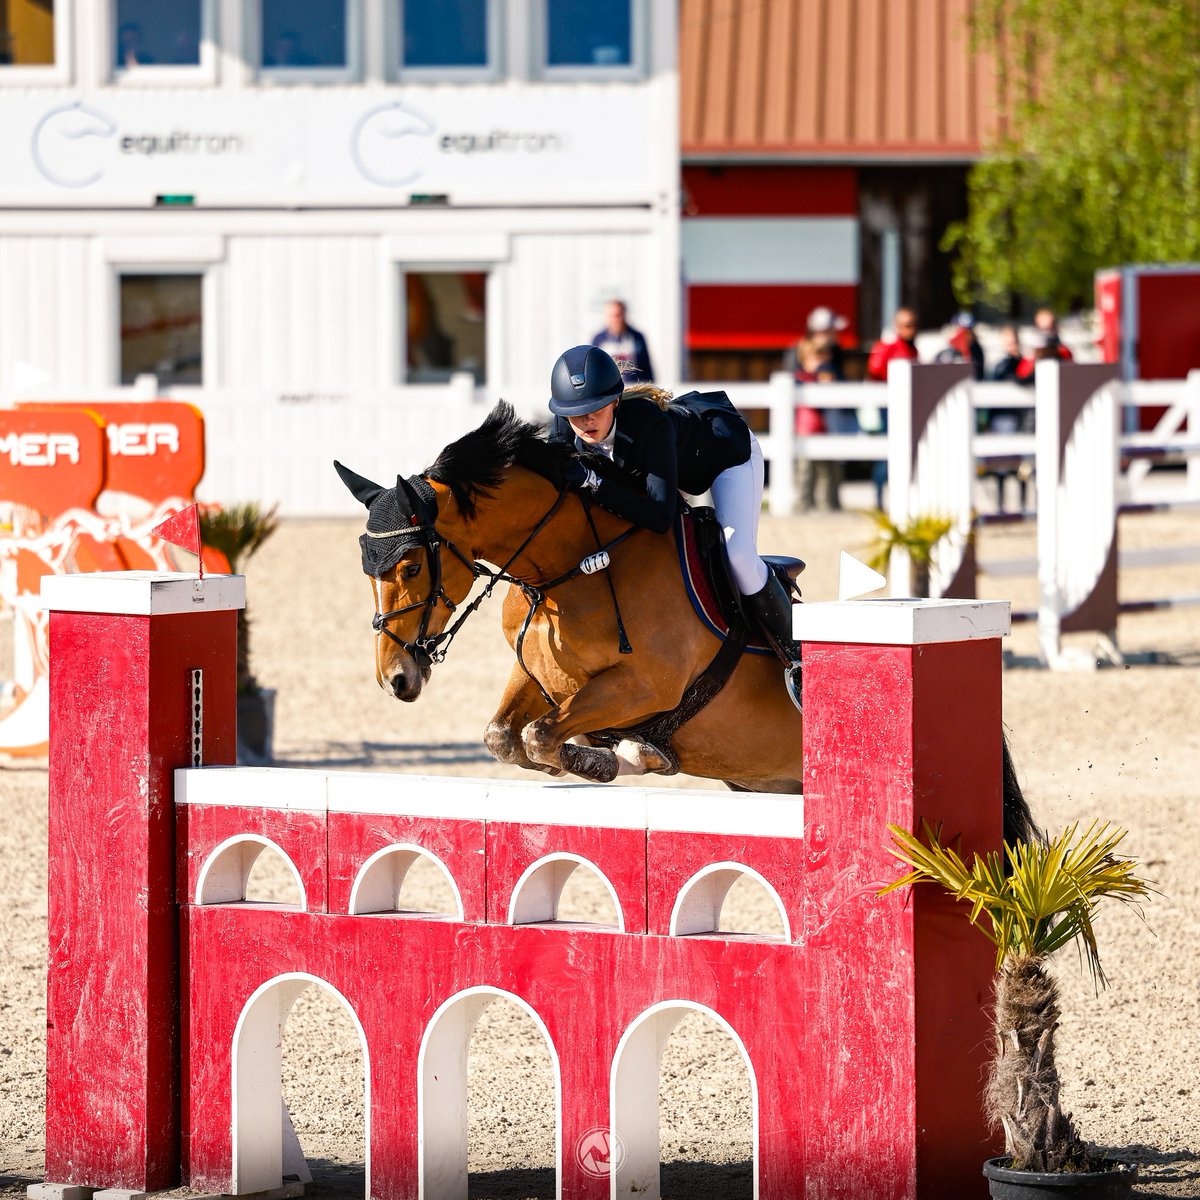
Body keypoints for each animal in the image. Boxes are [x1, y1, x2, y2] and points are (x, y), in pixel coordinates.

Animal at [335, 402, 1041, 843]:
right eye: (367, 568)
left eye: (409, 567)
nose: (396, 679)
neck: (568, 566)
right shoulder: (536, 674)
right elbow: (505, 736)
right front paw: (611, 754)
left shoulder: (646, 686)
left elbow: (540, 736)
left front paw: (612, 757)